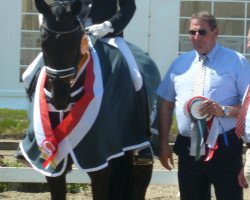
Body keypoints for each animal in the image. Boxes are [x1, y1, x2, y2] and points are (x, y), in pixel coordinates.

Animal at [19, 0, 160, 200]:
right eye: (43, 41)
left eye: (75, 41)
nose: (59, 98)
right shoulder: (53, 166)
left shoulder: (99, 158)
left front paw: (99, 29)